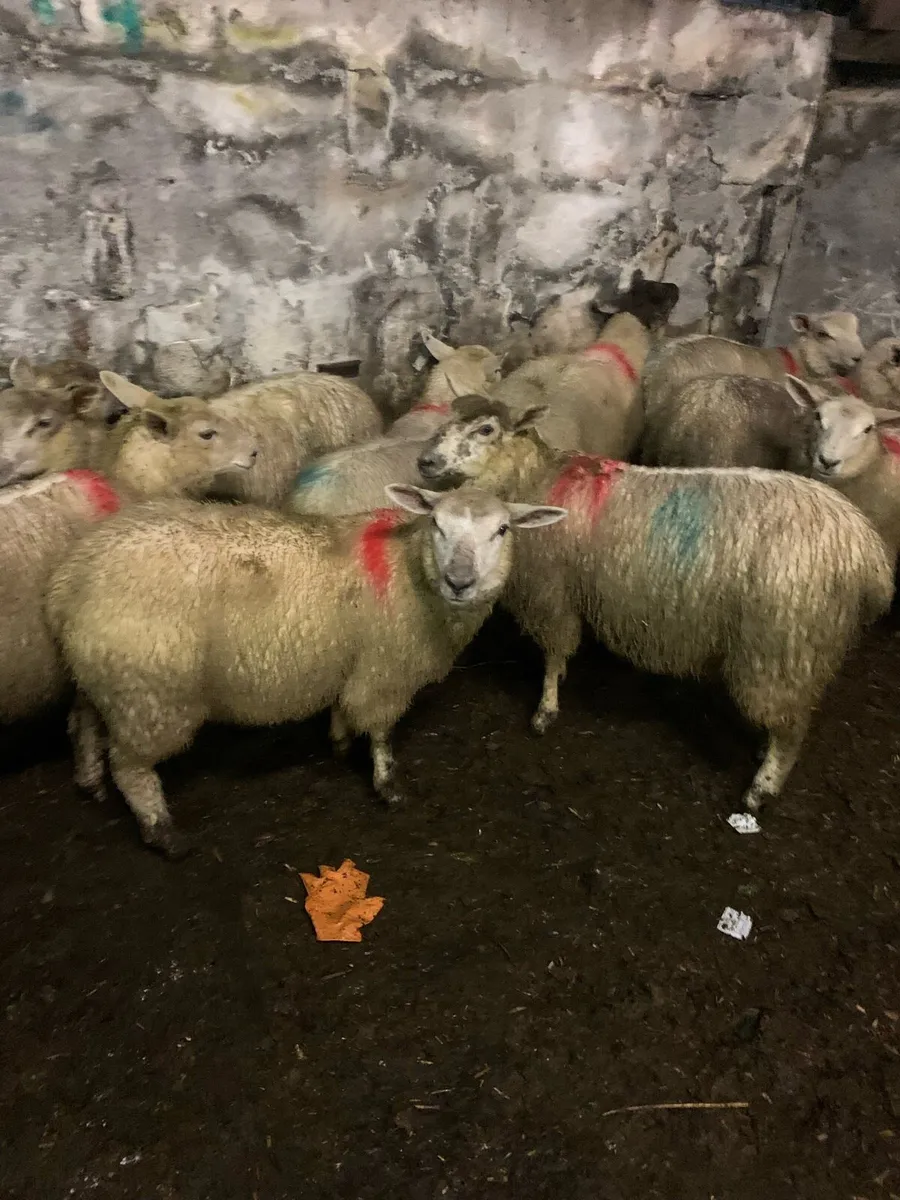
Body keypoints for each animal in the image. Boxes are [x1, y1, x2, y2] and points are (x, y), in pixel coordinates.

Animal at [45, 485, 567, 857]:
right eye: (436, 524)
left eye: (503, 530)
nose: (460, 581)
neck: (409, 572)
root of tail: (69, 578)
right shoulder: (385, 669)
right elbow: (380, 732)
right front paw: (387, 786)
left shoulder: (351, 661)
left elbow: (343, 711)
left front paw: (338, 745)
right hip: (150, 690)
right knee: (131, 766)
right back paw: (162, 832)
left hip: (104, 674)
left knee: (82, 721)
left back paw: (90, 782)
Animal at [416, 396, 893, 814]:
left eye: (485, 430)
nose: (425, 462)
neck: (534, 480)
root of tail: (867, 551)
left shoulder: (551, 592)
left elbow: (554, 654)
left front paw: (545, 711)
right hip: (798, 650)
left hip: (781, 644)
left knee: (792, 732)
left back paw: (761, 789)